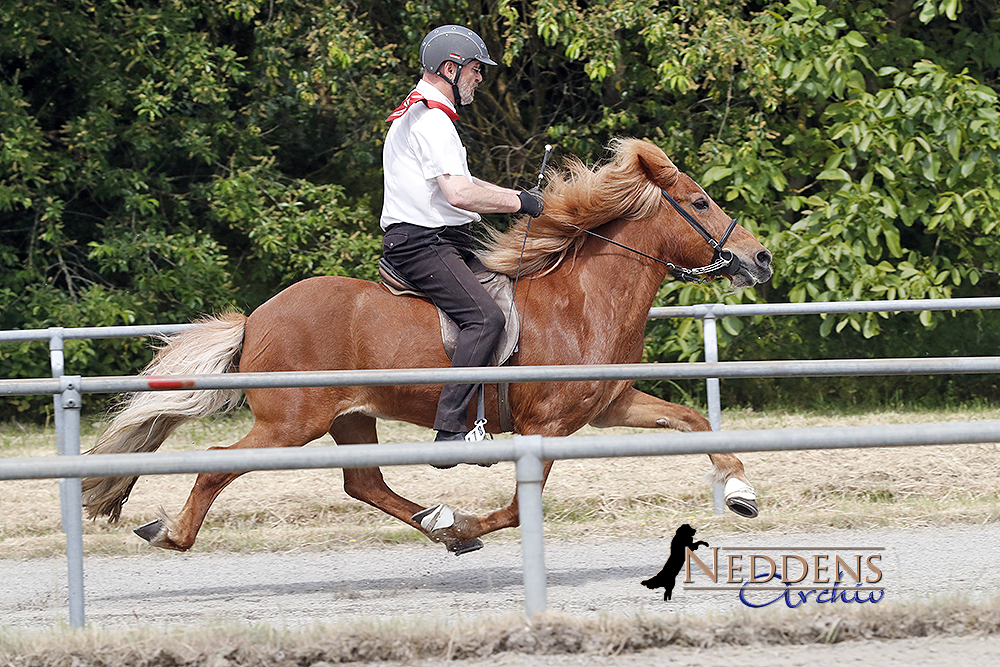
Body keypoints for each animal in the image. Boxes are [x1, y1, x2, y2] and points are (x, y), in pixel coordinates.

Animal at [84, 140, 772, 552]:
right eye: (701, 202)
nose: (760, 258)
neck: (582, 301)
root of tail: (257, 318)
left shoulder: (607, 408)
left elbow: (693, 422)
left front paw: (741, 491)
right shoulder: (543, 426)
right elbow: (519, 508)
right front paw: (468, 519)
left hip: (351, 417)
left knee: (363, 483)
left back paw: (436, 525)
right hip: (290, 423)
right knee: (218, 463)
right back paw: (174, 533)